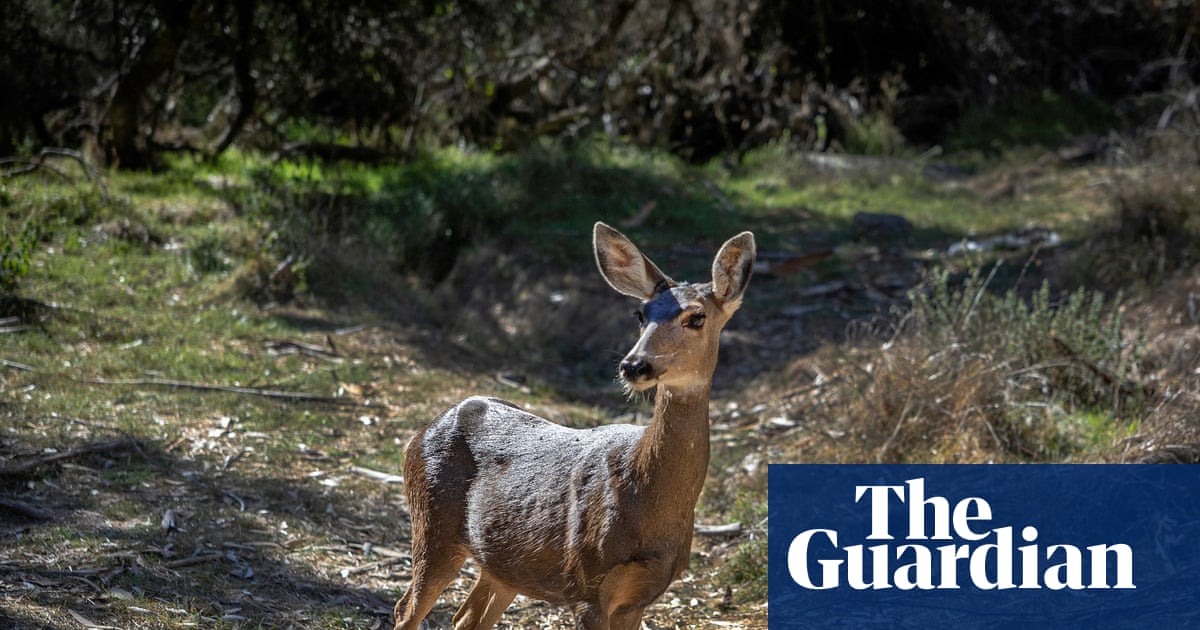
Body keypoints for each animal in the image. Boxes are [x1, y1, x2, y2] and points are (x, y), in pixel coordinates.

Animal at [392, 222, 755, 630]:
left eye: (697, 317)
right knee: (407, 608)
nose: (633, 365)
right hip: (432, 522)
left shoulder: (639, 598)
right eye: (640, 313)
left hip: (504, 562)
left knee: (466, 616)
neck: (651, 505)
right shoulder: (586, 582)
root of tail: (421, 433)